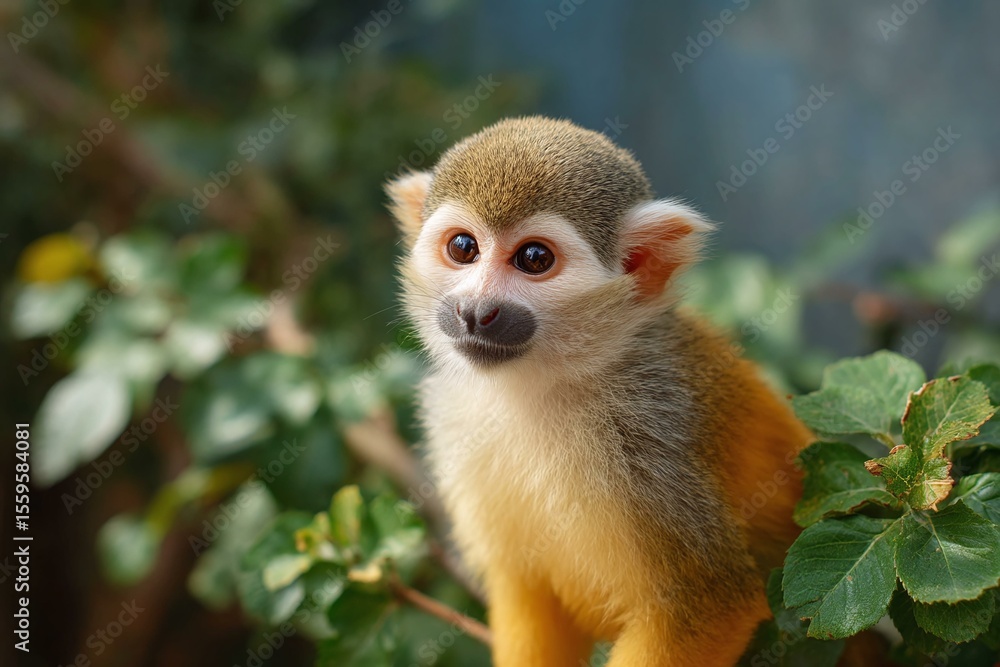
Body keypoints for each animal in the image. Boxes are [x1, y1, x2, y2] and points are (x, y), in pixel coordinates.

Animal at [387, 116, 812, 666]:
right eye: (463, 248)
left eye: (534, 258)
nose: (475, 311)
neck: (546, 385)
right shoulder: (456, 421)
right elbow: (526, 590)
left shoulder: (647, 446)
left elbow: (710, 606)